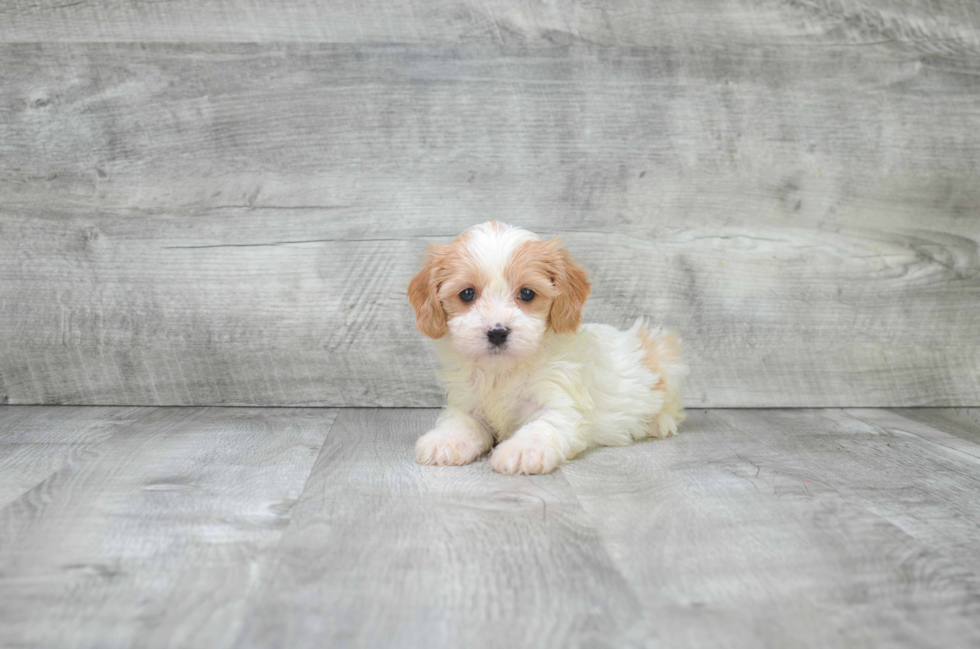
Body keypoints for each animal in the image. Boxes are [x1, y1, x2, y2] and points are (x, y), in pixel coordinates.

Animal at [408, 220, 688, 474]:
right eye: (467, 294)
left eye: (527, 293)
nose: (497, 332)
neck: (503, 371)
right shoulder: (467, 403)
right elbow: (460, 422)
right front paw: (445, 441)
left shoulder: (560, 405)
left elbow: (541, 428)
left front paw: (522, 450)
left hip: (667, 360)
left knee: (670, 406)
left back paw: (659, 423)